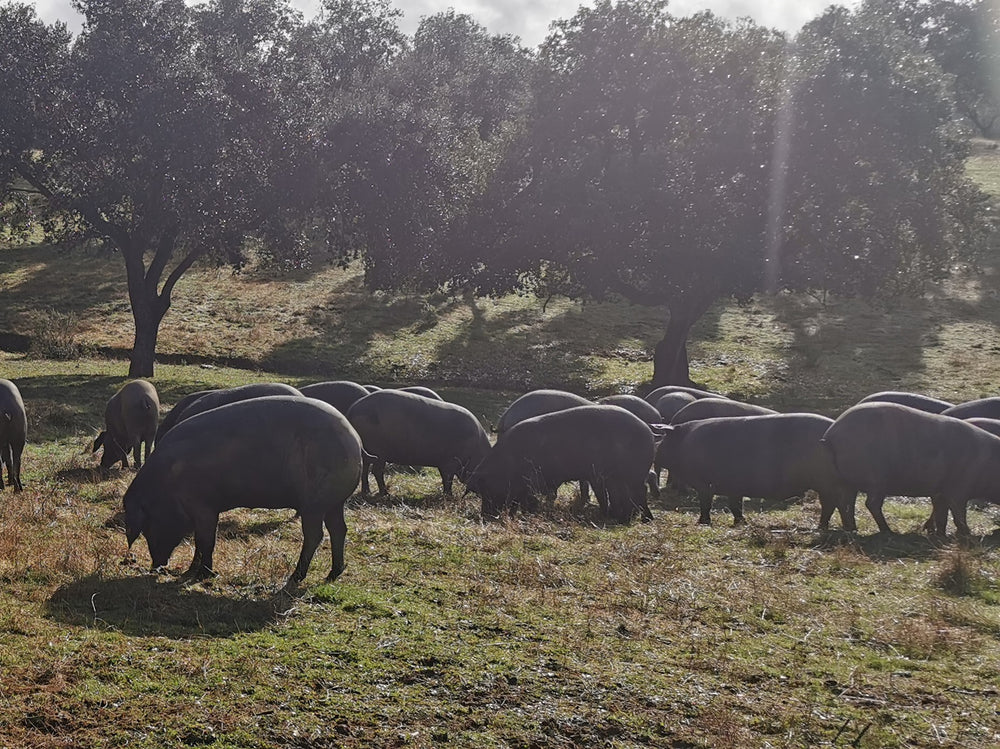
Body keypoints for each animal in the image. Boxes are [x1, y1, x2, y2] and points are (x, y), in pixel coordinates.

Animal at [123, 394, 362, 588]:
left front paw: (203, 575)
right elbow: (201, 541)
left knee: (315, 535)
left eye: (148, 524)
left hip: (315, 503)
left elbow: (206, 540)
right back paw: (332, 574)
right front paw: (190, 572)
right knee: (339, 530)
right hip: (334, 503)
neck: (166, 483)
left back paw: (294, 578)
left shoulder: (202, 506)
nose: (155, 566)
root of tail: (355, 441)